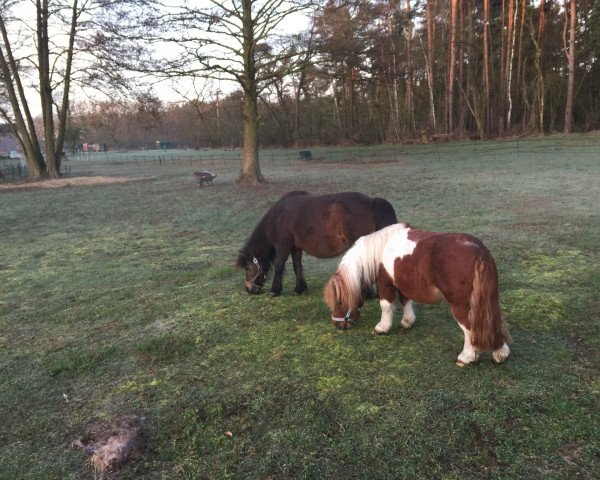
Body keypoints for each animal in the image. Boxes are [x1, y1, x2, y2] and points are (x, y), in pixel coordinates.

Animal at [236, 191, 398, 296]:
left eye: (248, 268)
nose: (249, 289)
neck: (278, 216)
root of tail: (371, 202)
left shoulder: (283, 246)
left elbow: (279, 267)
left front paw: (274, 291)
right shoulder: (295, 248)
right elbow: (297, 266)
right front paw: (299, 289)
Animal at [324, 223, 510, 366]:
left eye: (339, 301)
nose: (338, 325)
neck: (381, 248)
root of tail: (479, 250)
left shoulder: (386, 284)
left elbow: (386, 306)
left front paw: (382, 328)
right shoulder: (403, 284)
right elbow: (406, 301)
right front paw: (407, 322)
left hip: (461, 305)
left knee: (469, 328)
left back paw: (466, 357)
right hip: (487, 301)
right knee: (492, 323)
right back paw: (500, 354)